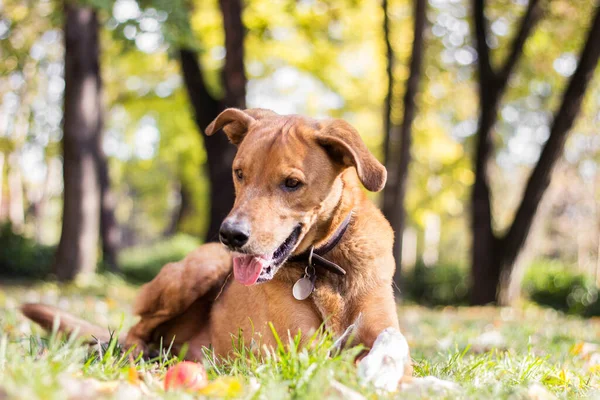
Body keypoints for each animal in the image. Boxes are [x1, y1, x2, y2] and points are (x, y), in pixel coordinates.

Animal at [21, 108, 410, 390]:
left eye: (292, 183)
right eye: (239, 173)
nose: (231, 235)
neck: (324, 263)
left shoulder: (375, 326)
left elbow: (393, 347)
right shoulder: (301, 350)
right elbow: (339, 363)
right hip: (193, 274)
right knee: (134, 333)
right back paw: (133, 358)